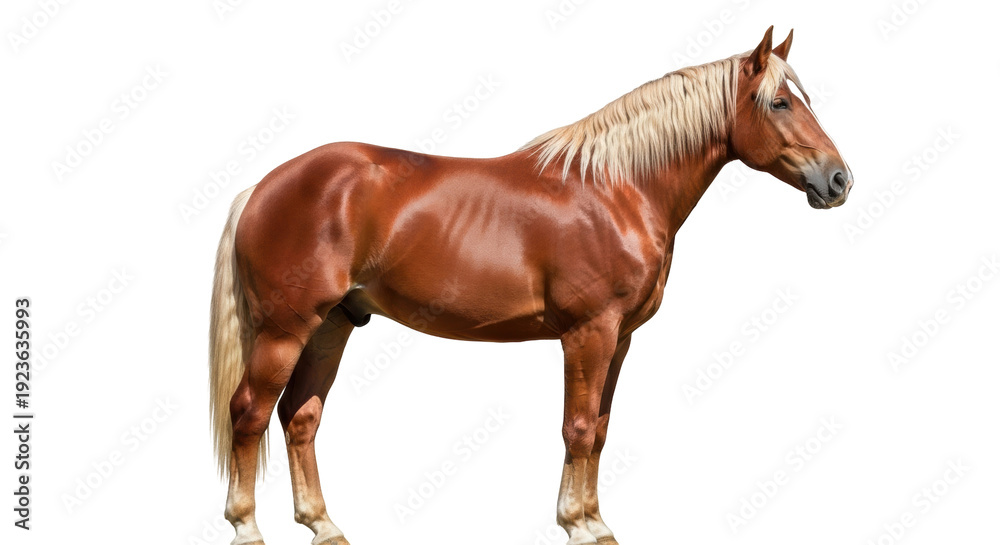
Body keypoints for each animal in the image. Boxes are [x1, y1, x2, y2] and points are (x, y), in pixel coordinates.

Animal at [209, 26, 852, 545]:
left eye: (806, 100)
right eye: (778, 102)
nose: (839, 179)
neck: (617, 191)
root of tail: (263, 186)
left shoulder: (620, 338)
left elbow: (600, 429)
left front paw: (596, 520)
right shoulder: (589, 333)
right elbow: (578, 427)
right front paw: (578, 525)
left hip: (331, 325)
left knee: (299, 418)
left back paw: (324, 525)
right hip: (285, 329)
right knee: (250, 412)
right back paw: (246, 527)